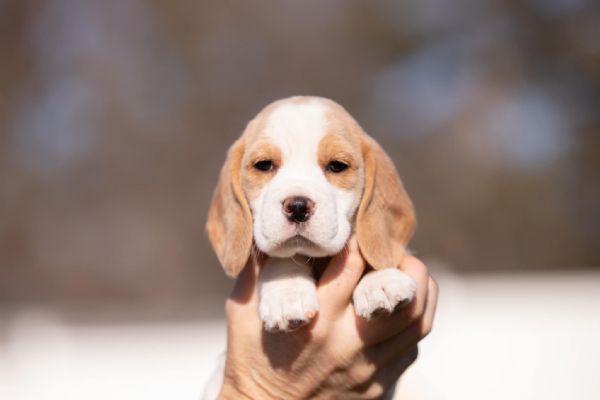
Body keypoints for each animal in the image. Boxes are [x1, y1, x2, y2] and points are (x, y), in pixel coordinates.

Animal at [207, 96, 418, 332]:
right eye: (264, 165)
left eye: (337, 166)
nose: (298, 206)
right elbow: (283, 257)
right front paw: (287, 292)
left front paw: (380, 280)